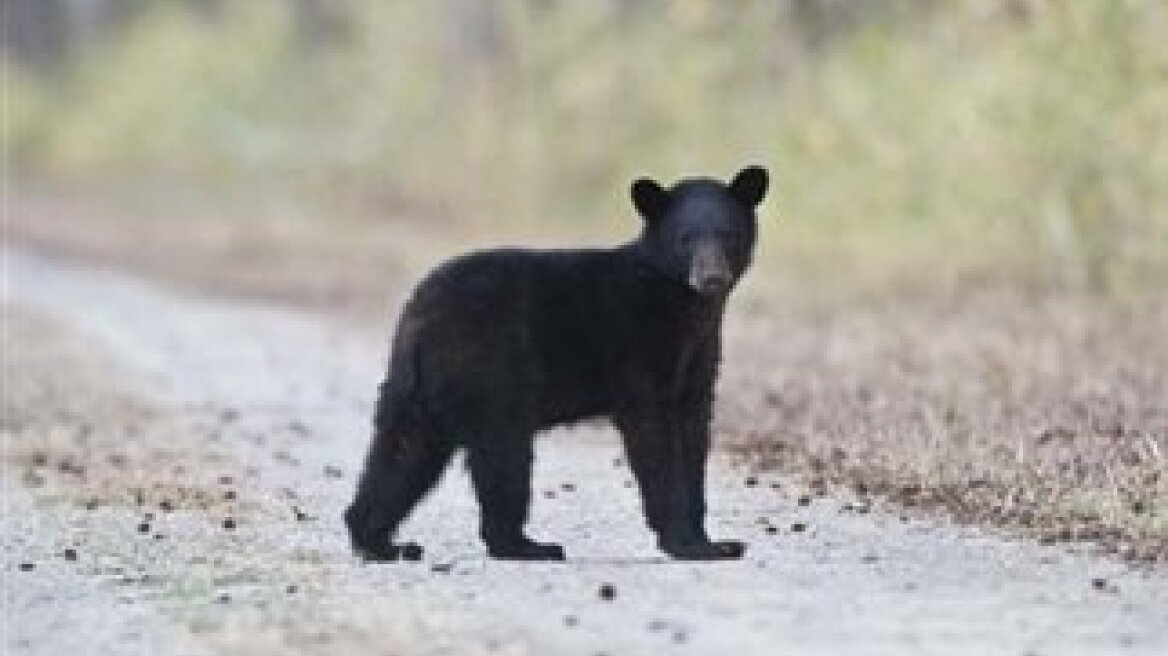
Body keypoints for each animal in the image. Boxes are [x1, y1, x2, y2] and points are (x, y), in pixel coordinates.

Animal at [341, 165, 770, 560]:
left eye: (728, 235)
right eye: (685, 240)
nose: (711, 278)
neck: (686, 308)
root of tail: (417, 316)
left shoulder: (699, 356)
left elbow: (694, 433)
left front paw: (716, 543)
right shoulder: (639, 345)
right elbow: (653, 435)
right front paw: (685, 543)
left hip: (417, 390)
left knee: (402, 451)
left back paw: (380, 542)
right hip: (491, 373)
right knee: (503, 455)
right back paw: (528, 546)